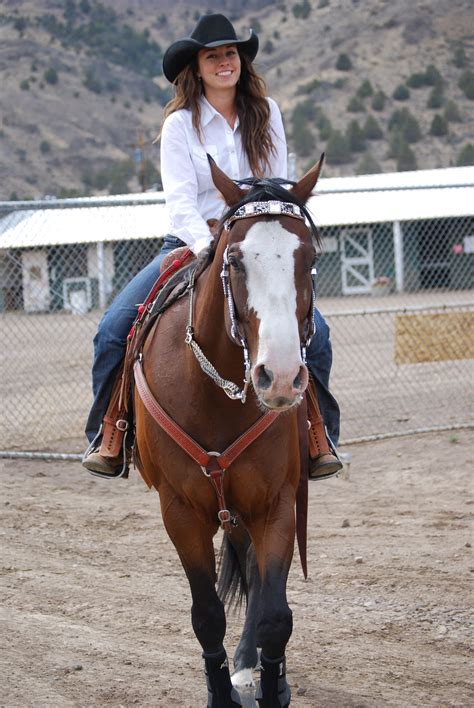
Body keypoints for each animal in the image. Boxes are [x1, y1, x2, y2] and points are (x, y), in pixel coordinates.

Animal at [134, 156, 326, 708]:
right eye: (235, 260)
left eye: (308, 258)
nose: (280, 377)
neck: (217, 393)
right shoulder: (179, 510)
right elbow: (206, 616)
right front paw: (222, 693)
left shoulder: (277, 501)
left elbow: (275, 614)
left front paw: (272, 684)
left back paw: (251, 666)